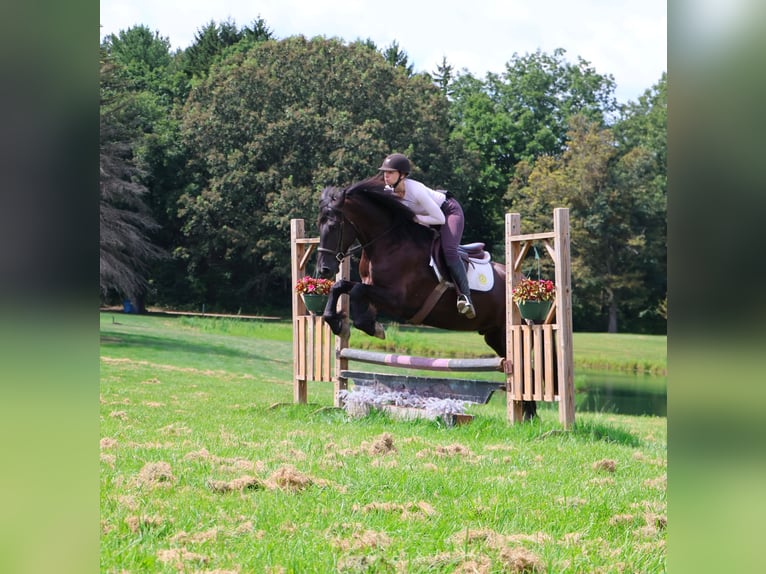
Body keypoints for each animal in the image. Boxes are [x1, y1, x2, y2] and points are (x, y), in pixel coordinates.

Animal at [316, 175, 537, 420]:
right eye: (318, 224)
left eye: (334, 226)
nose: (324, 269)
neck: (389, 243)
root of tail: (520, 282)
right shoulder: (372, 288)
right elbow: (340, 287)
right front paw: (337, 323)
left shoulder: (399, 301)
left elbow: (356, 293)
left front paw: (374, 327)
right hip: (495, 335)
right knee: (525, 369)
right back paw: (528, 416)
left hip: (506, 331)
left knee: (525, 370)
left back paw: (527, 417)